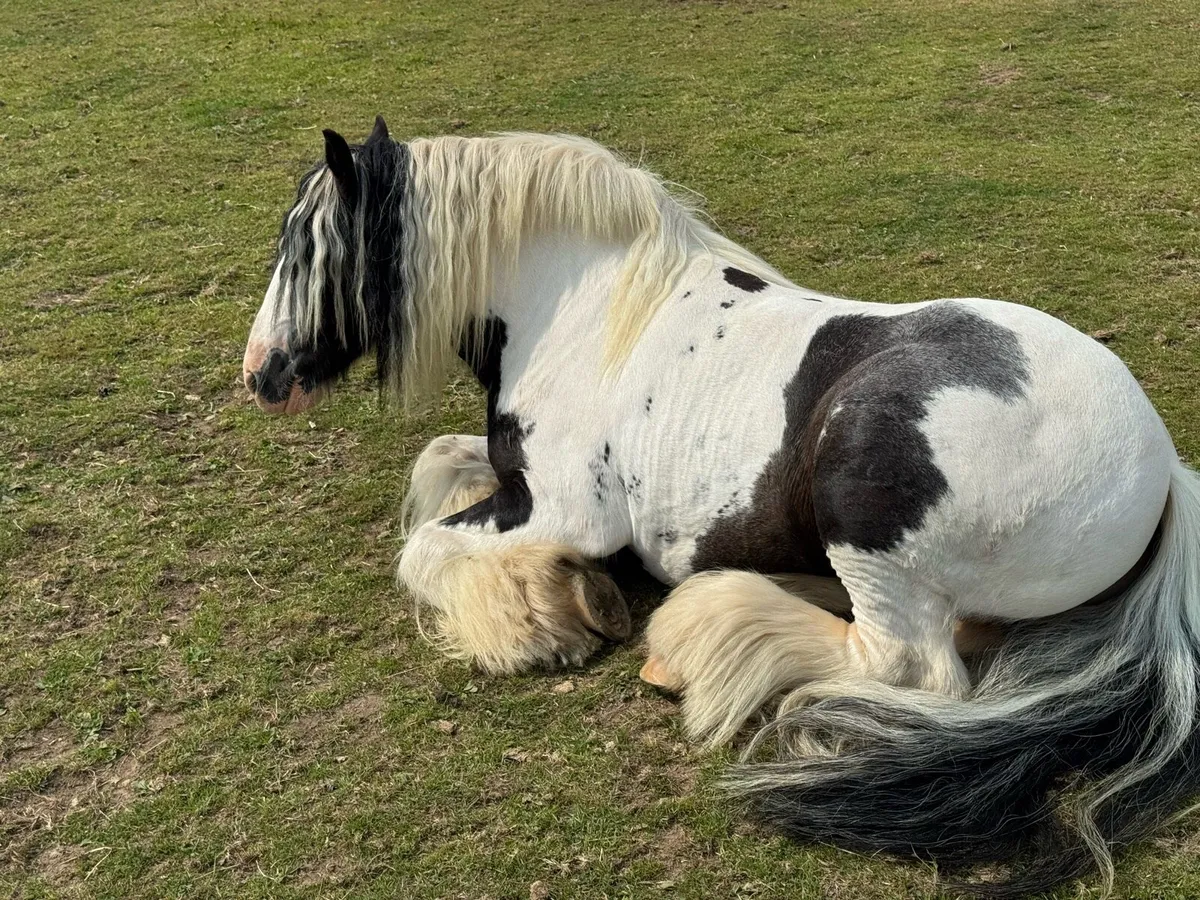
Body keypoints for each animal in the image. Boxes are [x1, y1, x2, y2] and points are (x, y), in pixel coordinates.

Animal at [242, 117, 1200, 897]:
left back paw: (702, 636)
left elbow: (425, 550)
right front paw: (565, 592)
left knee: (907, 666)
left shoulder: (559, 508)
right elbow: (440, 461)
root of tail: (1161, 466)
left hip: (864, 505)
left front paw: (540, 621)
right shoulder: (514, 482)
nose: (261, 376)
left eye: (310, 245)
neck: (579, 311)